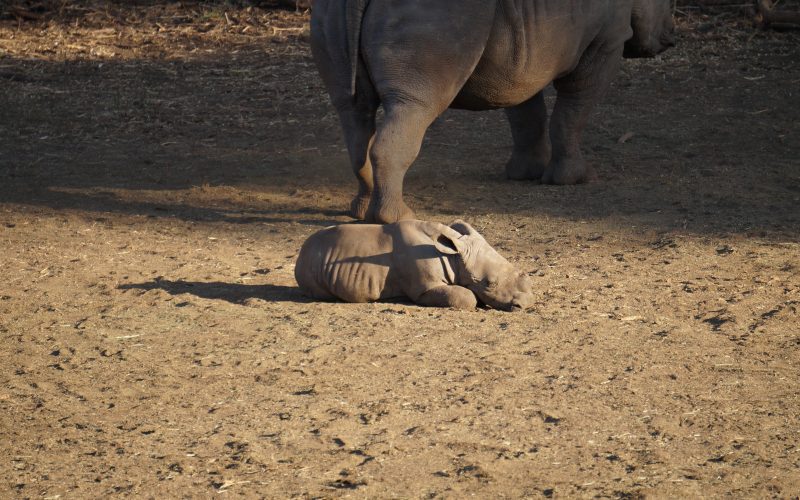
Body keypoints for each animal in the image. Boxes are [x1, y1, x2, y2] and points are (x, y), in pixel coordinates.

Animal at [294, 221, 532, 310]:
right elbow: (466, 296)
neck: (453, 257)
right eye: (488, 283)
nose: (525, 304)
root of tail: (301, 251)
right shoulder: (424, 288)